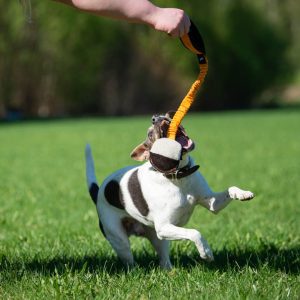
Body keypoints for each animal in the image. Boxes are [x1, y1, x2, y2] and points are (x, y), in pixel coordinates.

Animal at [85, 112, 254, 270]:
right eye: (150, 134)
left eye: (165, 115)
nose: (156, 117)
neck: (179, 176)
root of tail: (99, 192)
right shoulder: (164, 227)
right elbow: (194, 232)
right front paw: (206, 252)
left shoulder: (213, 204)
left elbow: (230, 189)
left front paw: (243, 193)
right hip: (121, 240)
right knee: (129, 261)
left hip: (157, 238)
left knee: (163, 260)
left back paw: (170, 271)